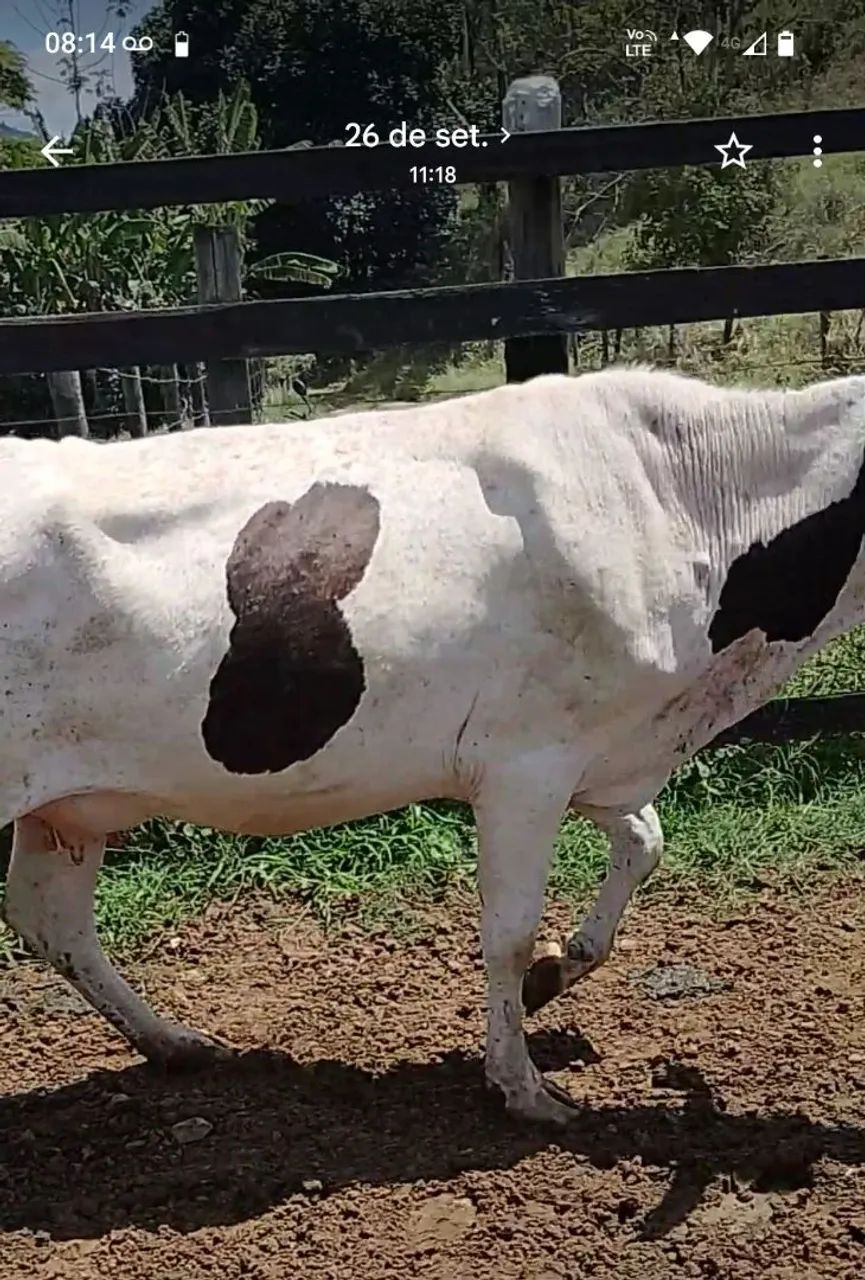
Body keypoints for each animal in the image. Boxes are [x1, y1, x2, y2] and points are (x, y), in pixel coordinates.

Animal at [2, 366, 865, 1125]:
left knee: (51, 920)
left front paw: (556, 975)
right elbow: (508, 933)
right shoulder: (524, 765)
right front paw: (522, 1089)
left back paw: (175, 1044)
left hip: (67, 808)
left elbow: (643, 845)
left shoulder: (600, 755)